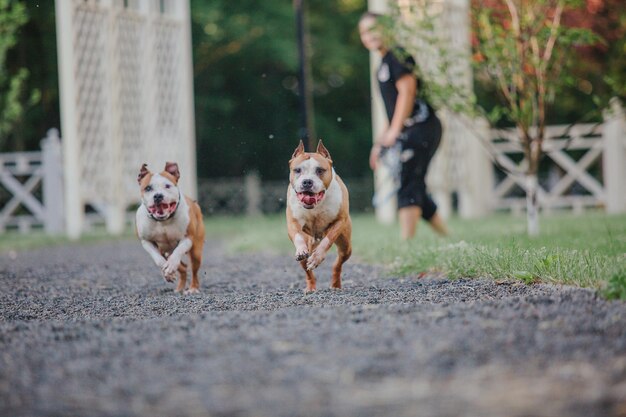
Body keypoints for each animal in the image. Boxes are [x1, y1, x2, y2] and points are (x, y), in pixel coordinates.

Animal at [136, 161, 205, 294]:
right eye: (148, 188)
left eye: (167, 186)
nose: (158, 196)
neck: (163, 221)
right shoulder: (146, 241)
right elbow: (157, 258)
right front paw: (166, 270)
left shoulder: (187, 238)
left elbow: (178, 252)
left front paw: (171, 265)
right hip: (166, 251)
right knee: (183, 267)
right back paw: (178, 286)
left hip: (196, 252)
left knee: (193, 270)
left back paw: (193, 288)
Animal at [284, 141, 348, 290]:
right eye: (297, 170)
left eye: (320, 170)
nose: (307, 181)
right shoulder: (293, 222)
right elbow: (297, 236)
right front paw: (301, 250)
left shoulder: (340, 221)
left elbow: (328, 240)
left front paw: (317, 258)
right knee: (307, 270)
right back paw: (310, 288)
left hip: (345, 247)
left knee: (338, 263)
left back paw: (335, 284)